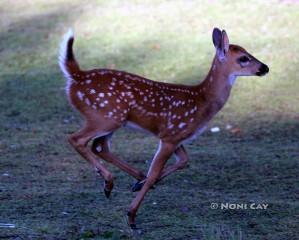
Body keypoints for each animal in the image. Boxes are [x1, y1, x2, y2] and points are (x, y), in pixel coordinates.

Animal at [58, 27, 270, 230]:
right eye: (243, 58)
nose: (265, 67)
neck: (202, 101)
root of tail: (76, 76)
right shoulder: (170, 135)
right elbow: (154, 174)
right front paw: (131, 216)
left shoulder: (176, 136)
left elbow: (184, 161)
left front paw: (139, 185)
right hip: (105, 117)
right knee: (76, 139)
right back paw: (110, 182)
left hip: (112, 120)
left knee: (99, 146)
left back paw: (126, 180)